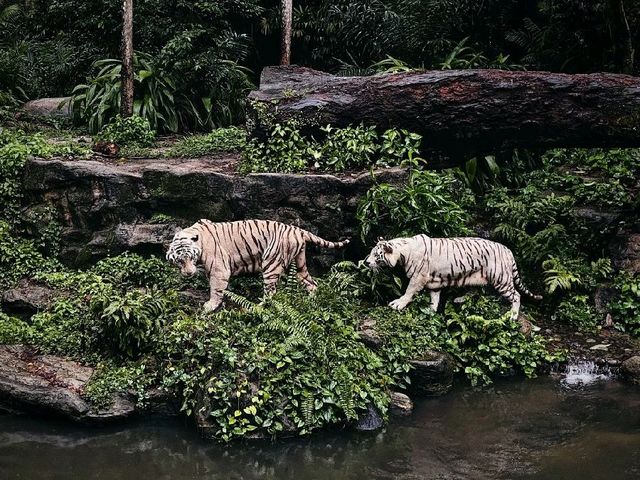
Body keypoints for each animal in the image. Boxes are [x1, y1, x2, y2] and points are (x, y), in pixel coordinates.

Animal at [165, 218, 350, 312]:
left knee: (271, 292)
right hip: (299, 264)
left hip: (271, 264)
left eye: (190, 257)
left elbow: (216, 289)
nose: (188, 273)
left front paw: (210, 306)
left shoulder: (219, 270)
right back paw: (312, 301)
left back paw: (258, 307)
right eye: (180, 260)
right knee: (311, 283)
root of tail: (298, 230)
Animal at [364, 234, 540, 320]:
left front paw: (398, 304)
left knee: (516, 295)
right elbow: (434, 298)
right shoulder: (433, 283)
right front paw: (431, 311)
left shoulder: (418, 277)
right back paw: (459, 299)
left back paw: (513, 316)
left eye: (376, 254)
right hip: (476, 276)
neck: (403, 252)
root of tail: (508, 250)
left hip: (500, 278)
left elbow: (409, 291)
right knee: (476, 291)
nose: (366, 262)